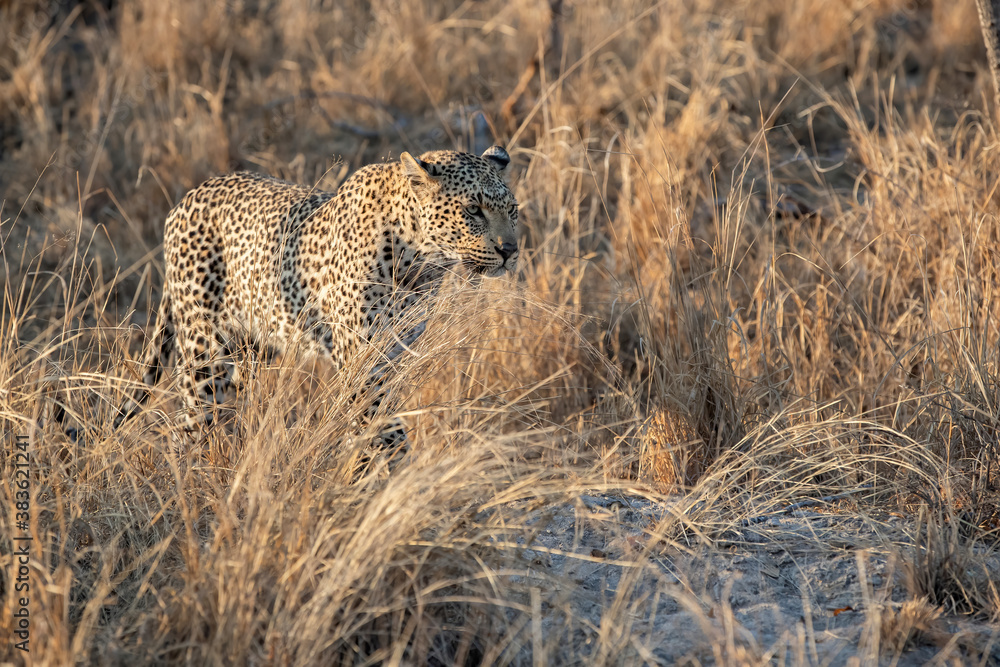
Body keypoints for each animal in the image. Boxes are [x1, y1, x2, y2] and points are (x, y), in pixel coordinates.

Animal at [101, 145, 518, 445]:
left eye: (512, 209)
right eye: (473, 210)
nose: (510, 250)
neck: (422, 264)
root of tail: (185, 199)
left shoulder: (393, 354)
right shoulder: (360, 359)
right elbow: (383, 428)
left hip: (251, 347)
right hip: (206, 350)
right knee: (191, 421)